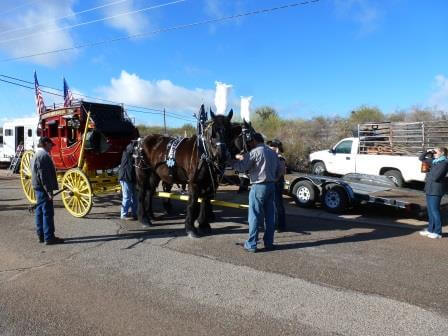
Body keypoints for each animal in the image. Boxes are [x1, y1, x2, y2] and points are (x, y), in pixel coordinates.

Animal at [136, 103, 234, 238]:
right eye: (213, 132)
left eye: (230, 132)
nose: (221, 155)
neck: (202, 152)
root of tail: (142, 140)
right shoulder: (194, 183)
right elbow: (192, 203)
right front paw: (190, 228)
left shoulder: (209, 182)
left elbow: (205, 201)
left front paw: (204, 225)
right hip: (143, 173)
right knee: (141, 193)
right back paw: (144, 218)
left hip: (154, 175)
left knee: (150, 192)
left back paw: (150, 215)